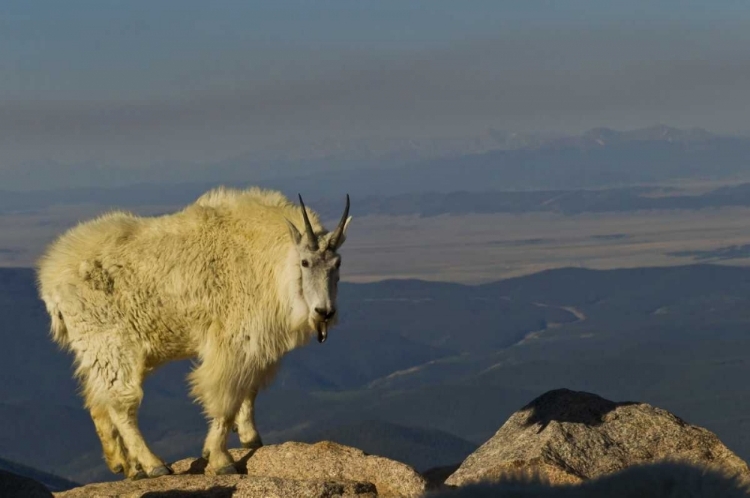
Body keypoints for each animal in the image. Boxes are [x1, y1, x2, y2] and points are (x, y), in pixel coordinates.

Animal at [36, 186, 352, 478]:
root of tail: (51, 282)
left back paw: (124, 464)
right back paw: (152, 465)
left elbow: (248, 390)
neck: (267, 257)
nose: (324, 312)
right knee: (121, 404)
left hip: (96, 350)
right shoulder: (233, 342)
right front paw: (221, 460)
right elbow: (225, 401)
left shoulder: (256, 343)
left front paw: (250, 438)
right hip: (111, 344)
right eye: (305, 262)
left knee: (96, 399)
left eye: (338, 264)